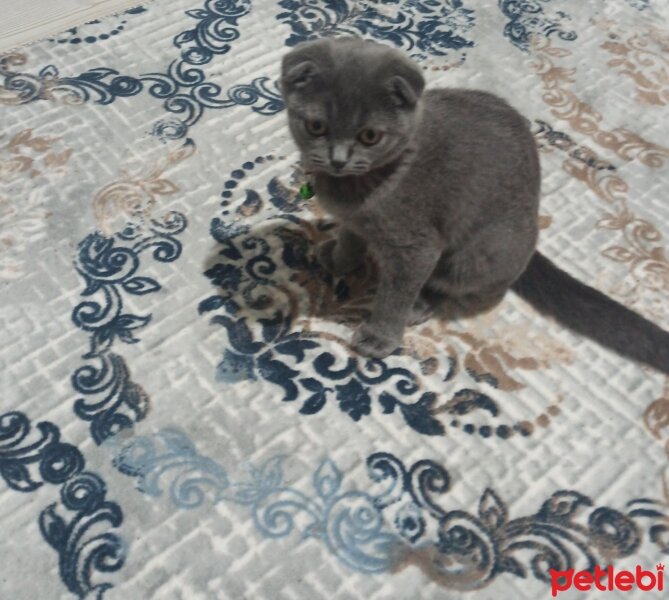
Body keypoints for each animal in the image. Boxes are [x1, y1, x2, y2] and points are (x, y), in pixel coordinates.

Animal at [278, 36, 668, 376]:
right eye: (316, 126)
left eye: (370, 136)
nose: (338, 159)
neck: (360, 190)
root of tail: (531, 243)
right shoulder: (355, 221)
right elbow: (350, 241)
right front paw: (337, 260)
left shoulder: (415, 247)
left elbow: (395, 294)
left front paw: (380, 337)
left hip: (474, 253)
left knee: (452, 287)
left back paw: (420, 305)